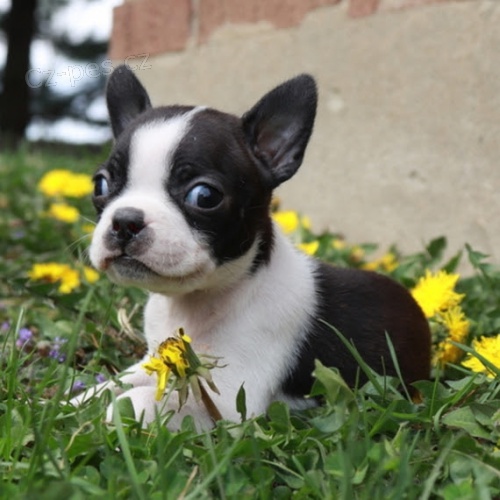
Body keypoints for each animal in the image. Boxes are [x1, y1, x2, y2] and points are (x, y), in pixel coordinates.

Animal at [73, 65, 431, 429]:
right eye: (100, 185)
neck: (195, 301)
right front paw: (76, 400)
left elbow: (147, 400)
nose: (125, 221)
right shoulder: (156, 359)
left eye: (204, 196)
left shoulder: (231, 405)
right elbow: (115, 383)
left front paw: (119, 408)